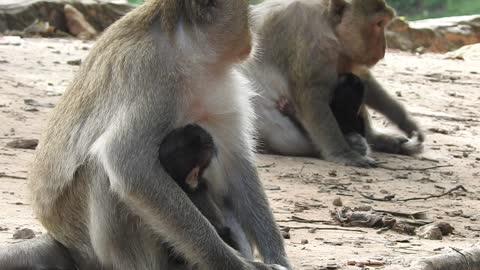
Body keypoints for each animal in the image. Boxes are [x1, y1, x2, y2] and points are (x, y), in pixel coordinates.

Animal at [0, 0, 292, 270]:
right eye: (246, 15)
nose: (252, 38)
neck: (184, 49)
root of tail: (66, 244)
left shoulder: (219, 82)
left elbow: (236, 162)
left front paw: (277, 257)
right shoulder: (155, 78)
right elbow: (129, 164)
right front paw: (237, 264)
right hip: (94, 244)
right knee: (101, 169)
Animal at [244, 0, 424, 167]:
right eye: (379, 24)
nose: (384, 47)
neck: (328, 21)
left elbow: (361, 75)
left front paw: (404, 120)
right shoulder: (312, 39)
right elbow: (311, 97)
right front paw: (343, 153)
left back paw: (375, 139)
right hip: (290, 139)